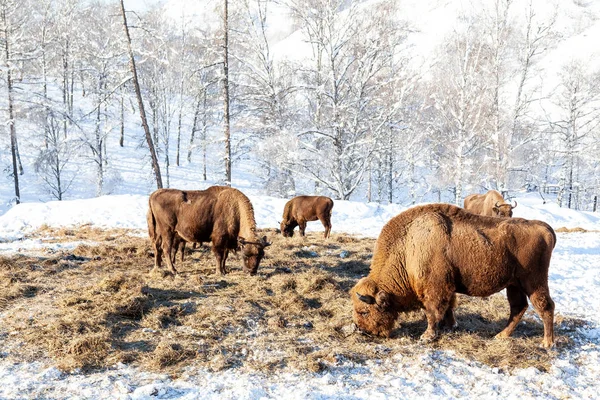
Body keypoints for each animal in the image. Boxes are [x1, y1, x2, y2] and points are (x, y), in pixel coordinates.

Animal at [352, 203, 556, 346]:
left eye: (364, 311)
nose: (360, 329)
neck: (409, 246)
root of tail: (545, 229)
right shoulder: (447, 288)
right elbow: (448, 307)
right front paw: (450, 326)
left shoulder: (435, 289)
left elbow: (433, 312)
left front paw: (427, 336)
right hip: (513, 284)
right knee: (518, 307)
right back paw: (501, 335)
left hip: (533, 282)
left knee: (545, 306)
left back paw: (547, 343)